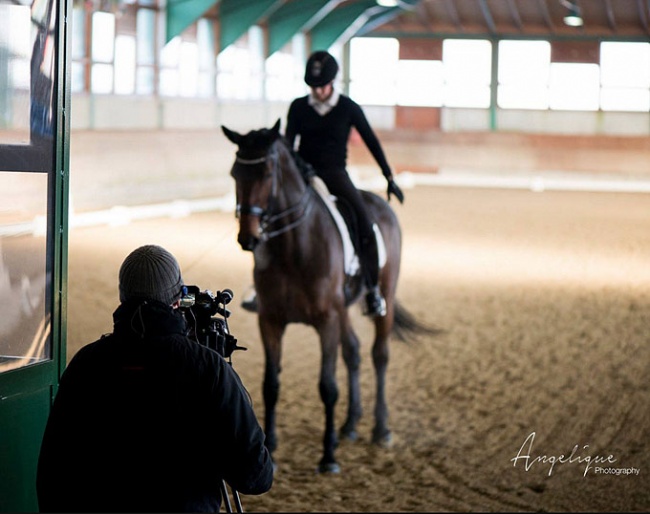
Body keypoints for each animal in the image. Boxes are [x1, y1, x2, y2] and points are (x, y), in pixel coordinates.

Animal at [223, 120, 436, 472]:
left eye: (267, 173)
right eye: (234, 173)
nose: (248, 238)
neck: (294, 247)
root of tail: (379, 204)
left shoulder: (326, 321)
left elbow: (327, 386)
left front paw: (328, 457)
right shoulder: (270, 321)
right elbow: (270, 385)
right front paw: (271, 446)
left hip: (383, 298)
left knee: (379, 354)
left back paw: (380, 429)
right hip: (343, 310)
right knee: (353, 351)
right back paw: (348, 425)